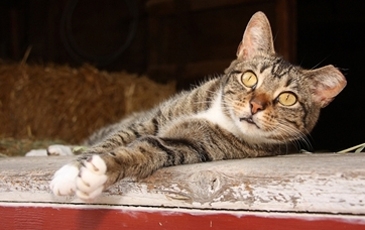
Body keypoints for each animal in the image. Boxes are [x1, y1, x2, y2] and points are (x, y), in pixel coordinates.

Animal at [49, 11, 346, 200]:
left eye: (287, 98)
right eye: (250, 77)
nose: (255, 106)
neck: (221, 114)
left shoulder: (189, 145)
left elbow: (141, 150)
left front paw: (93, 174)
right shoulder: (154, 119)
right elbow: (113, 140)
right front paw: (71, 170)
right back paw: (53, 149)